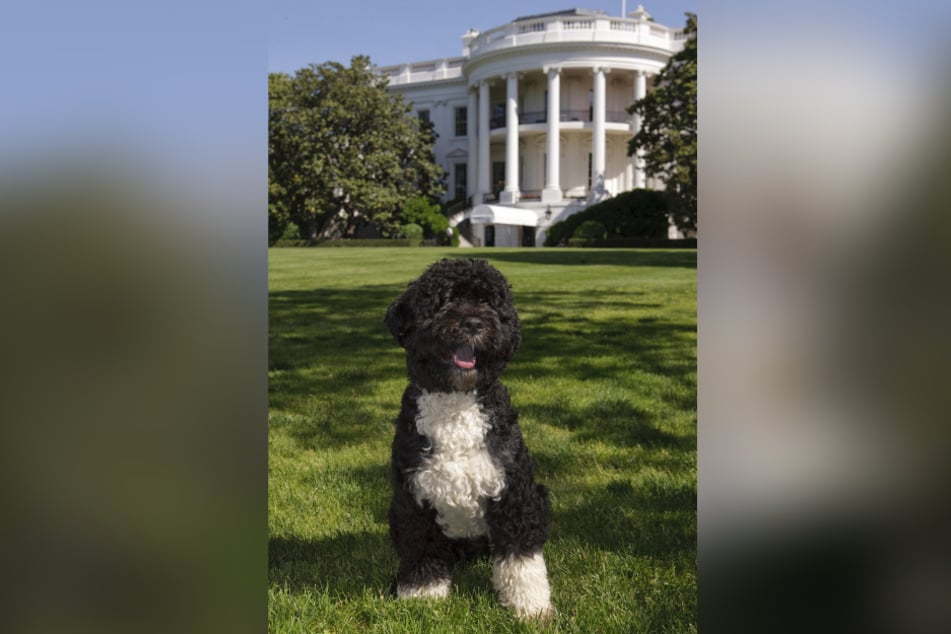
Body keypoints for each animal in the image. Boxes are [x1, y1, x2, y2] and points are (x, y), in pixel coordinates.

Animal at [384, 256, 556, 616]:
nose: (473, 323)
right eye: (445, 299)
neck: (456, 401)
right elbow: (422, 551)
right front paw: (422, 595)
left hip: (540, 497)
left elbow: (521, 560)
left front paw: (530, 605)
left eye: (489, 302)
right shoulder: (413, 499)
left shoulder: (514, 494)